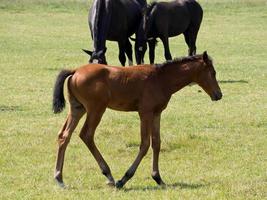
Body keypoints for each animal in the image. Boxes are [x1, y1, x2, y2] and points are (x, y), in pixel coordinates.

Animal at [53, 50, 223, 188]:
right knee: (86, 135)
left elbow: (156, 143)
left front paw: (158, 178)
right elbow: (145, 144)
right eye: (213, 73)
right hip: (96, 109)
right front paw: (124, 178)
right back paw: (109, 175)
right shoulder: (145, 113)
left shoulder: (156, 113)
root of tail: (75, 71)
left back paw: (59, 179)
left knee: (64, 135)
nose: (219, 95)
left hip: (77, 108)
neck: (161, 79)